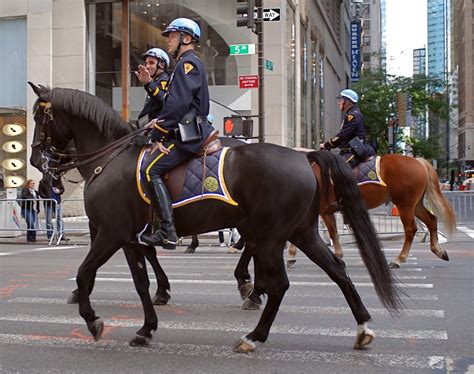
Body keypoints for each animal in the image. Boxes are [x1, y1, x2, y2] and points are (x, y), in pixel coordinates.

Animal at [28, 83, 400, 352]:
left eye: (38, 118)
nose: (35, 161)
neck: (110, 158)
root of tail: (303, 156)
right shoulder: (129, 238)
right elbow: (140, 282)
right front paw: (147, 327)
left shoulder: (111, 233)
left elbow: (84, 272)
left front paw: (92, 319)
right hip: (301, 231)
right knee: (337, 270)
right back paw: (362, 327)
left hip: (271, 235)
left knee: (279, 282)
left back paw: (253, 333)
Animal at [288, 153, 456, 268]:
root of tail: (418, 161)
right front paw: (291, 256)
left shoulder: (324, 210)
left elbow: (332, 233)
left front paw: (338, 256)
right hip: (415, 205)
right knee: (431, 220)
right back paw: (438, 250)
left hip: (405, 205)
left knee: (410, 229)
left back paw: (399, 259)